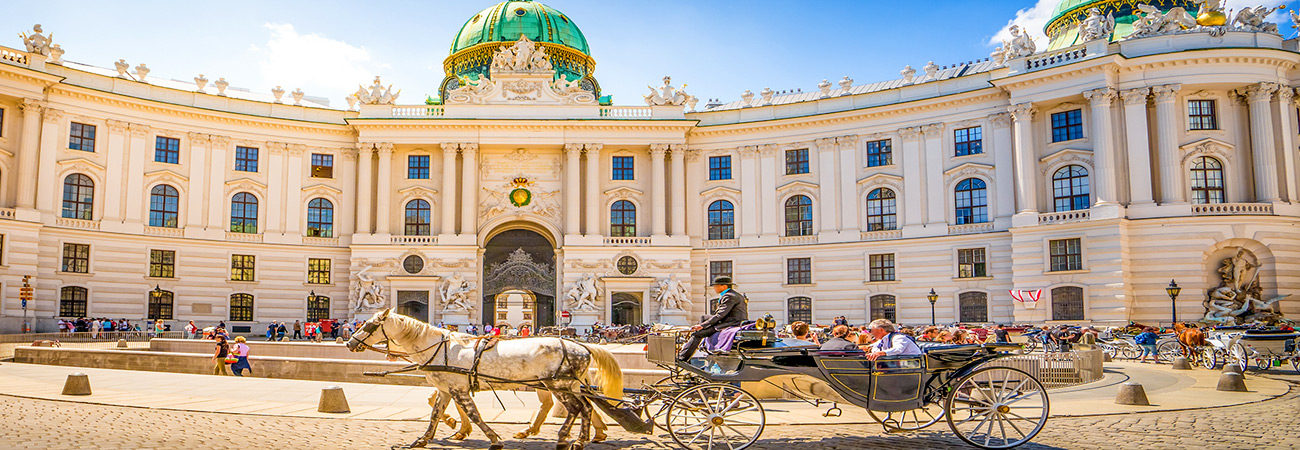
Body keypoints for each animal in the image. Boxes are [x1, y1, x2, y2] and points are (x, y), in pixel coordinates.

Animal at [345, 309, 618, 450]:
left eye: (368, 325)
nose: (349, 343)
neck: (439, 347)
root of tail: (581, 345)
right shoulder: (446, 390)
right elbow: (435, 413)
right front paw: (422, 439)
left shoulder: (458, 390)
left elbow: (474, 415)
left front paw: (494, 439)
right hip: (567, 385)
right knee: (585, 407)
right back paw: (579, 438)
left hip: (558, 385)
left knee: (576, 408)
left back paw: (569, 438)